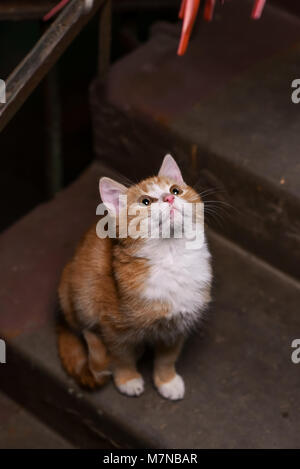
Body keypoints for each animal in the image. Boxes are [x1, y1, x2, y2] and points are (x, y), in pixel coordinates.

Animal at [58, 155, 211, 400]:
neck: (171, 257)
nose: (169, 198)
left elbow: (167, 357)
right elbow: (121, 356)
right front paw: (127, 379)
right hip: (78, 297)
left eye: (175, 190)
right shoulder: (113, 327)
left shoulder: (178, 325)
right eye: (145, 202)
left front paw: (167, 380)